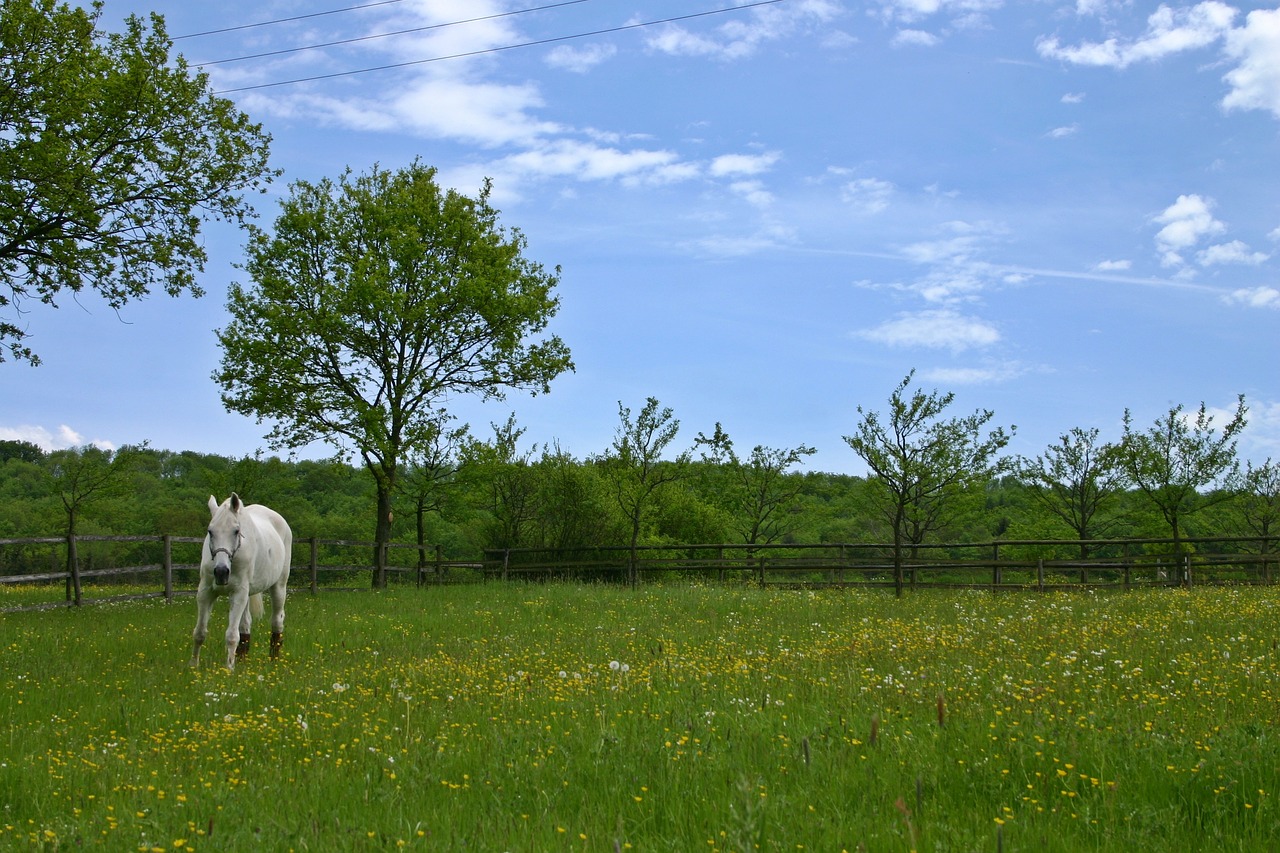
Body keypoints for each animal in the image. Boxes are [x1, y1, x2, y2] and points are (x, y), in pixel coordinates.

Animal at [188, 494, 293, 666]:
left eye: (236, 531)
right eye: (210, 532)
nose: (221, 572)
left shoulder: (238, 593)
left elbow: (231, 636)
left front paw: (228, 669)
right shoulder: (205, 592)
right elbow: (199, 632)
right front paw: (193, 666)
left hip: (278, 586)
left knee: (277, 621)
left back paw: (274, 660)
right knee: (245, 626)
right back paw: (243, 661)